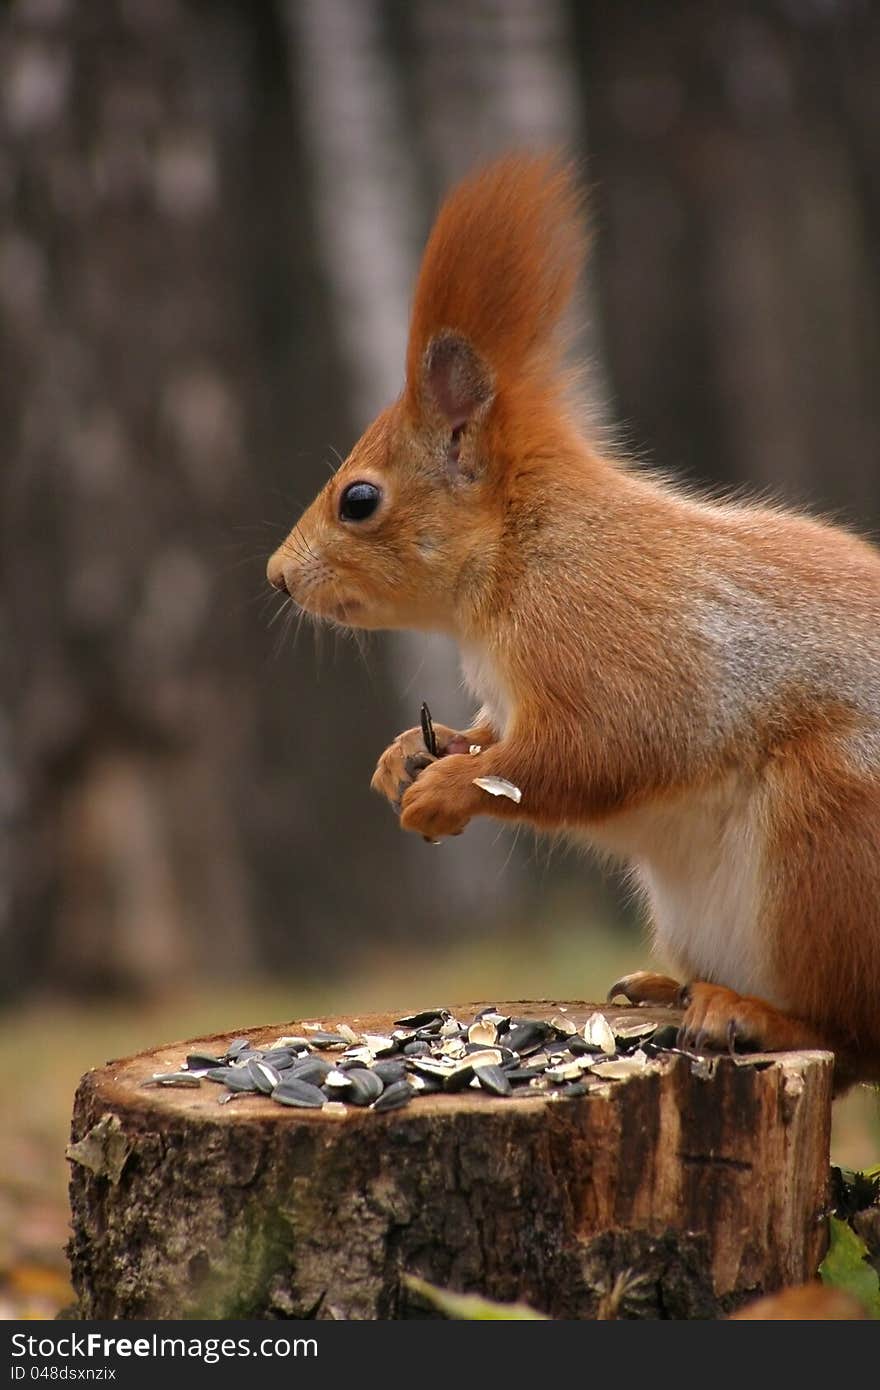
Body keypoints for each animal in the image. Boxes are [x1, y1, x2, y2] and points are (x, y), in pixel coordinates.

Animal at [265, 149, 878, 1084]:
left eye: (358, 501)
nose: (278, 579)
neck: (519, 555)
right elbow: (492, 737)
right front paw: (408, 755)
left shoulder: (605, 633)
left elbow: (595, 751)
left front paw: (444, 790)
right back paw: (669, 989)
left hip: (832, 839)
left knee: (850, 1037)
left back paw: (755, 1017)